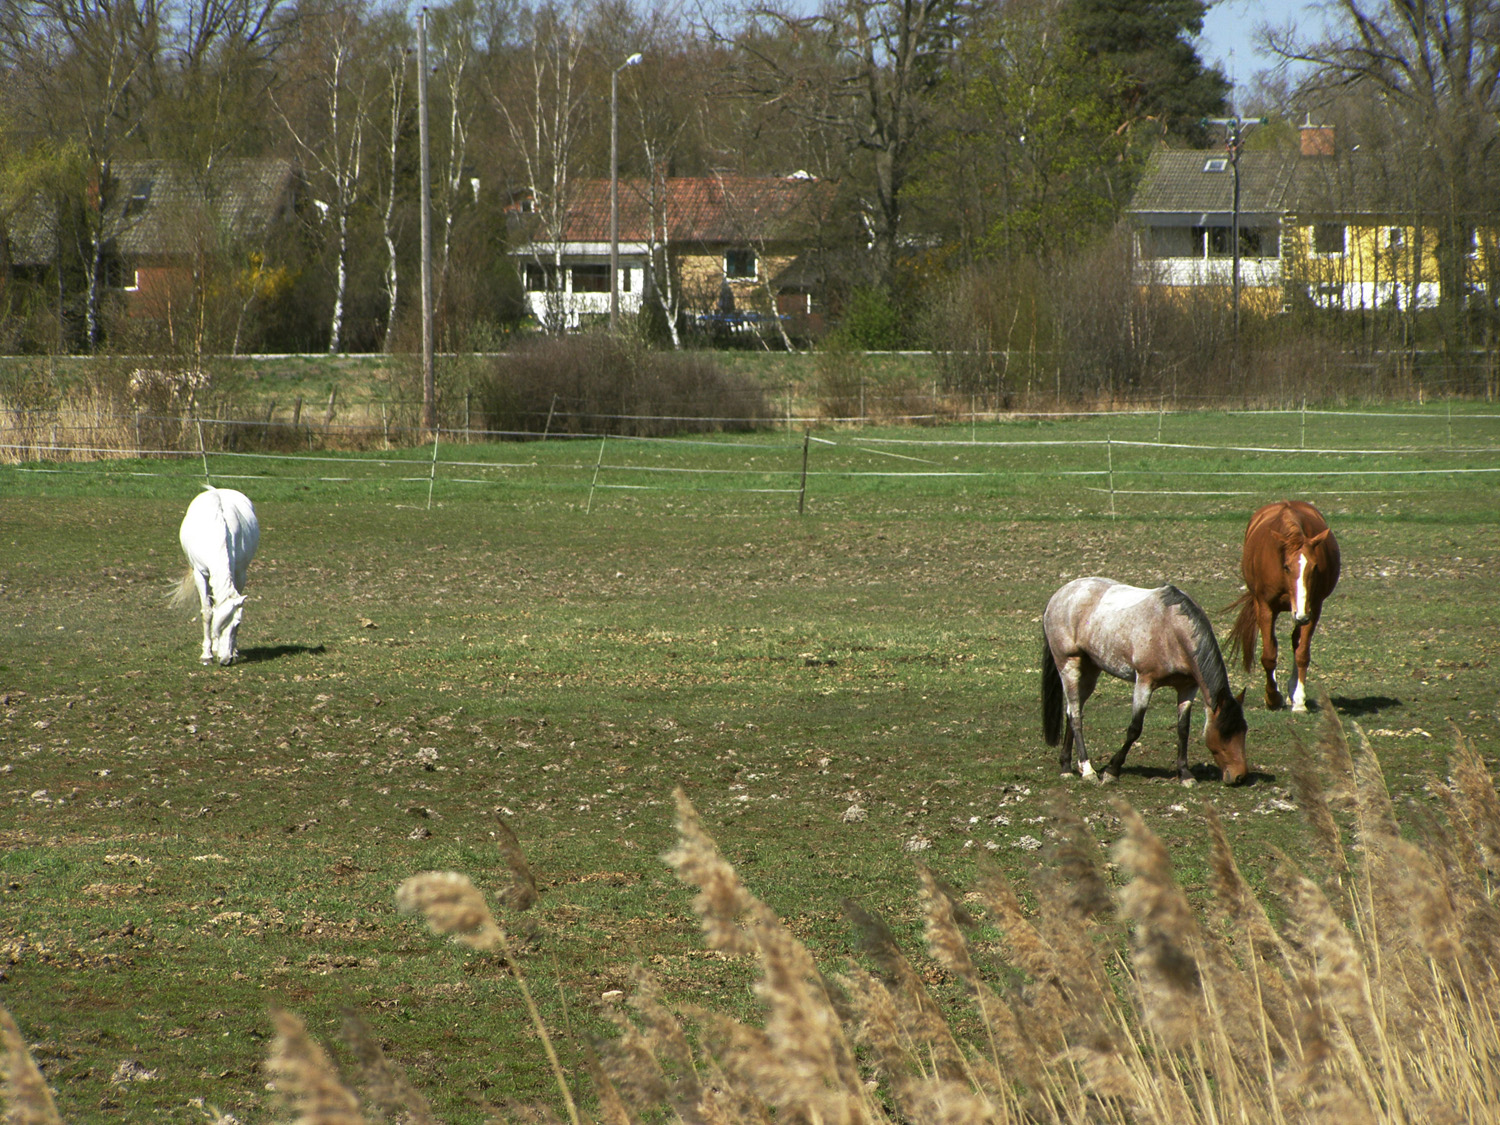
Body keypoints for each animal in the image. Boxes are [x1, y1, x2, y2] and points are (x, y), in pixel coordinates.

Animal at [172, 486, 261, 666]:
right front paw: (206, 655)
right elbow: (207, 613)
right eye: (220, 625)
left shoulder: (240, 573)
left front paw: (234, 651)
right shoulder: (200, 574)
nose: (226, 659)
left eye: (237, 624)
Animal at [1038, 576, 1248, 786]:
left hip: (1090, 671)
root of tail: (1060, 594)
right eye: (1225, 732)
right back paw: (1088, 770)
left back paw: (1067, 766)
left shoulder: (1187, 687)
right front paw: (1112, 771)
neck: (1171, 627)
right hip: (1068, 665)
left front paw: (1185, 774)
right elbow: (1135, 728)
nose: (1239, 776)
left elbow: (1183, 729)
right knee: (1075, 716)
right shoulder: (1144, 683)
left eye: (1244, 730)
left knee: (1072, 710)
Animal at [1230, 501, 1350, 714]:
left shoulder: (1313, 609)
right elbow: (1269, 654)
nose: (1301, 615)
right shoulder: (1265, 607)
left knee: (1296, 641)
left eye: (1315, 567)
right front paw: (1272, 698)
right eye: (1286, 567)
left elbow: (1302, 654)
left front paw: (1299, 700)